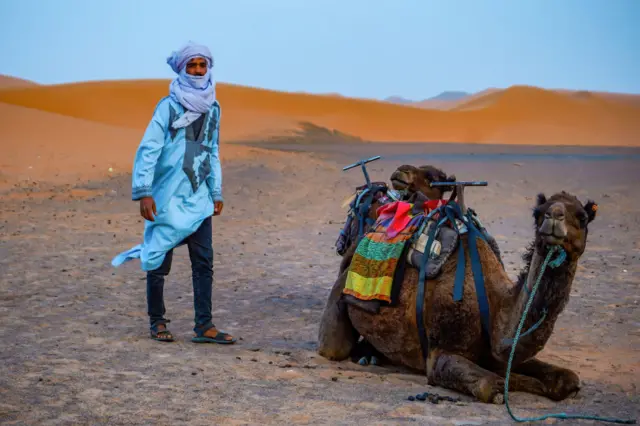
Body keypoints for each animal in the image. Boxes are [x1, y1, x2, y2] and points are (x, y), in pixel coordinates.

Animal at [318, 190, 596, 402]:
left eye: (583, 217)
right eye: (537, 214)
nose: (553, 216)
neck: (495, 307)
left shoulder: (499, 353)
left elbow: (567, 379)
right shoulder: (440, 353)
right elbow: (492, 384)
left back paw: (371, 354)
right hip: (340, 293)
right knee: (334, 348)